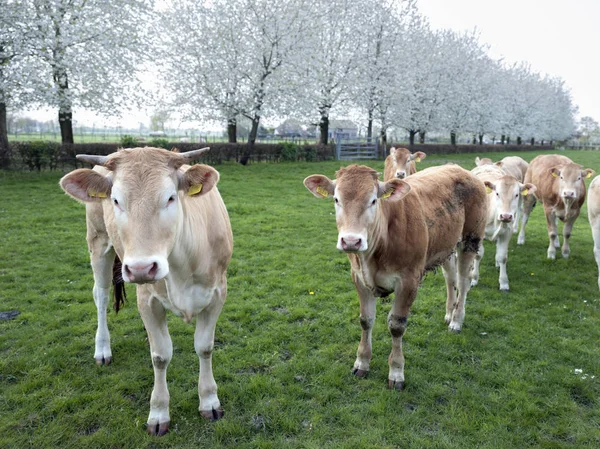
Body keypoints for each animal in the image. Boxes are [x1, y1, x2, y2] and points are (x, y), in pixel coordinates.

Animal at [58, 147, 232, 434]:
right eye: (116, 200)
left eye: (170, 197)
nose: (141, 268)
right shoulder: (148, 298)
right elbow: (160, 356)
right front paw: (158, 413)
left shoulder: (217, 293)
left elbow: (204, 347)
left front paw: (209, 401)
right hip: (98, 242)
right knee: (100, 295)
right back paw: (102, 349)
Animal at [304, 164, 488, 388]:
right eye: (336, 199)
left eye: (373, 200)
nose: (351, 241)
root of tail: (462, 170)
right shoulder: (358, 277)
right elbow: (366, 320)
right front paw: (362, 362)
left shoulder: (409, 281)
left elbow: (397, 325)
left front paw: (396, 372)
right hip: (445, 245)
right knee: (450, 277)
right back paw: (449, 313)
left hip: (471, 238)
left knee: (463, 281)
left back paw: (456, 320)